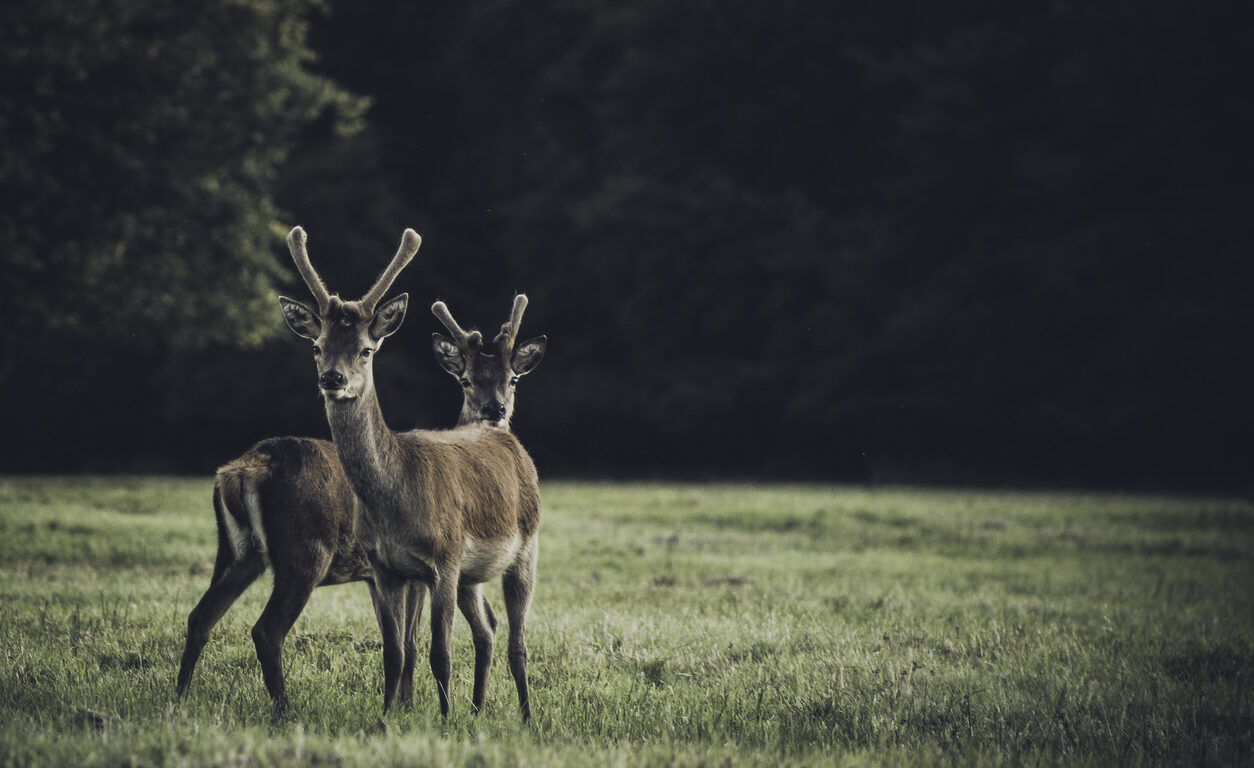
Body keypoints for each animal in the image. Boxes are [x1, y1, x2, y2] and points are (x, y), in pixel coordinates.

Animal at [175, 280, 545, 716]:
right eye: (466, 380)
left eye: (513, 379)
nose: (495, 409)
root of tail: (239, 471)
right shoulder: (415, 572)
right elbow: (414, 643)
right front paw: (410, 707)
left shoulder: (385, 575)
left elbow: (406, 642)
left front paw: (405, 706)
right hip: (304, 551)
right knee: (266, 630)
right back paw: (285, 710)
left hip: (236, 552)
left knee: (200, 617)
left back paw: (179, 702)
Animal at [275, 226, 543, 720]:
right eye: (318, 346)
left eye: (366, 349)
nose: (332, 378)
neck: (397, 503)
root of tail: (505, 437)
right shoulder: (387, 568)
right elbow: (395, 652)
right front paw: (385, 720)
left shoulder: (445, 558)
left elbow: (439, 652)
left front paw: (443, 720)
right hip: (472, 575)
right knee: (488, 630)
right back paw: (478, 710)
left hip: (526, 547)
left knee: (517, 640)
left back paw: (527, 718)